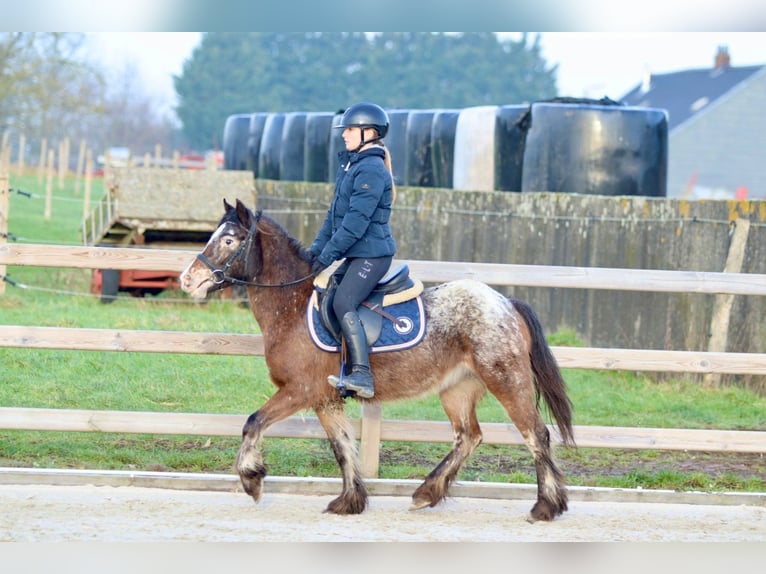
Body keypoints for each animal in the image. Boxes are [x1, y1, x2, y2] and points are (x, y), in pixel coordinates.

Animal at [180, 200, 576, 524]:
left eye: (229, 240)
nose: (188, 279)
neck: (292, 307)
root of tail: (506, 302)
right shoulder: (325, 400)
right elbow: (342, 447)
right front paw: (349, 501)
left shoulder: (300, 391)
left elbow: (253, 423)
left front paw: (252, 479)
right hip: (457, 389)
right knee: (468, 436)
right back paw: (426, 493)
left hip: (507, 380)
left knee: (535, 433)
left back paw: (545, 507)